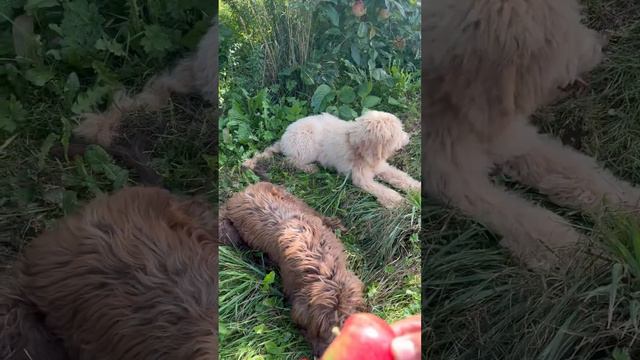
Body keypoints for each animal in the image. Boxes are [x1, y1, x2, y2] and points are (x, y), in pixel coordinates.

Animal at [241, 112, 420, 208]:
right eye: (398, 133)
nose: (408, 138)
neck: (357, 147)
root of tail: (284, 137)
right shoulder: (361, 178)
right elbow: (381, 189)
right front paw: (397, 200)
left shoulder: (382, 167)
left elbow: (401, 177)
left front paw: (416, 188)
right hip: (306, 144)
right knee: (290, 161)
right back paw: (310, 168)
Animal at [422, 0, 632, 270]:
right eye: (562, 36)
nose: (602, 43)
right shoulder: (456, 179)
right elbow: (526, 219)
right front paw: (587, 255)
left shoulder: (515, 140)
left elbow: (581, 172)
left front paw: (630, 209)